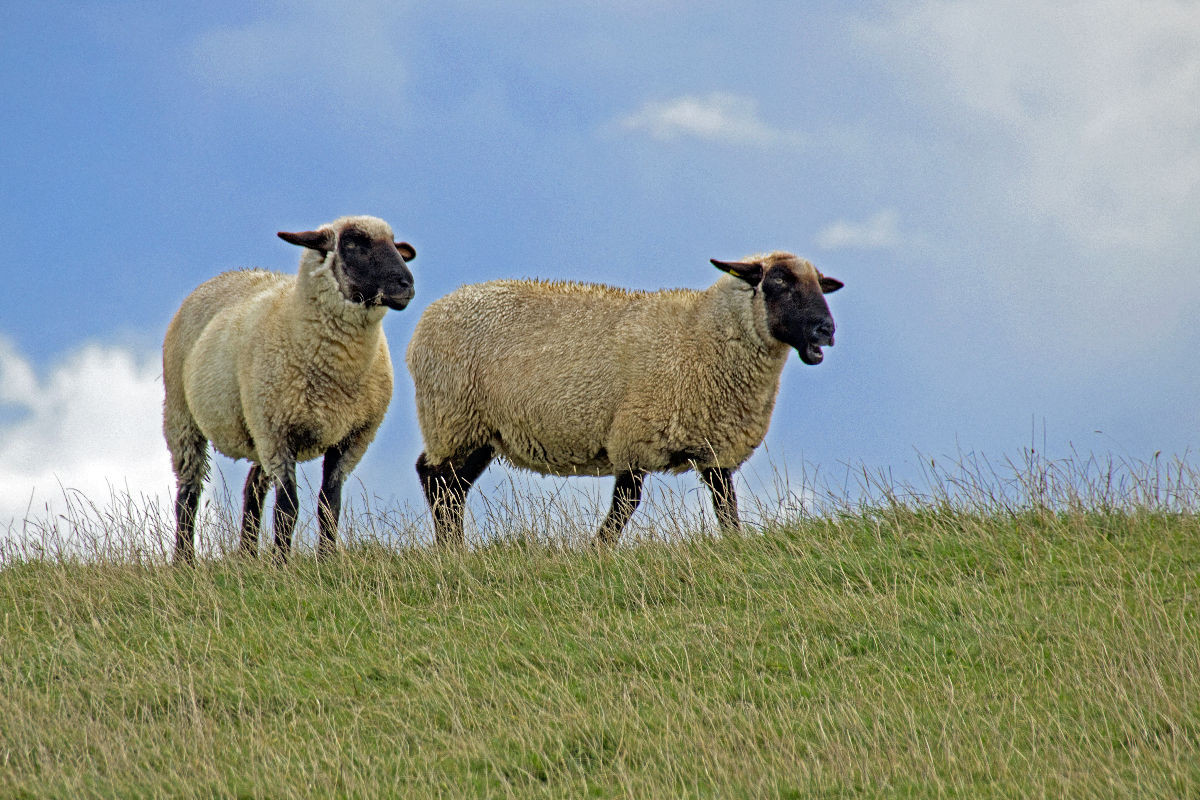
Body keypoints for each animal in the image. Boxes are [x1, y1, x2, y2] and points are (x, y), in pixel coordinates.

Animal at [163, 215, 417, 566]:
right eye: (354, 243)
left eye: (394, 244)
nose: (406, 285)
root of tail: (226, 274)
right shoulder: (279, 432)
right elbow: (288, 508)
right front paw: (281, 564)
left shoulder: (351, 438)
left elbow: (329, 504)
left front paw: (326, 560)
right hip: (183, 415)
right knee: (188, 494)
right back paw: (184, 561)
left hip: (257, 428)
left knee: (252, 488)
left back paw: (246, 556)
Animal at [410, 253, 844, 546]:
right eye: (779, 281)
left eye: (821, 284)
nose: (825, 331)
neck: (703, 335)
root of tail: (429, 318)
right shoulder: (635, 436)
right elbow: (626, 503)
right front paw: (598, 550)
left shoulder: (717, 447)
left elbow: (726, 504)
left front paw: (735, 544)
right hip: (453, 417)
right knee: (436, 480)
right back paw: (451, 551)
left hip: (480, 432)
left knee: (451, 487)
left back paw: (455, 549)